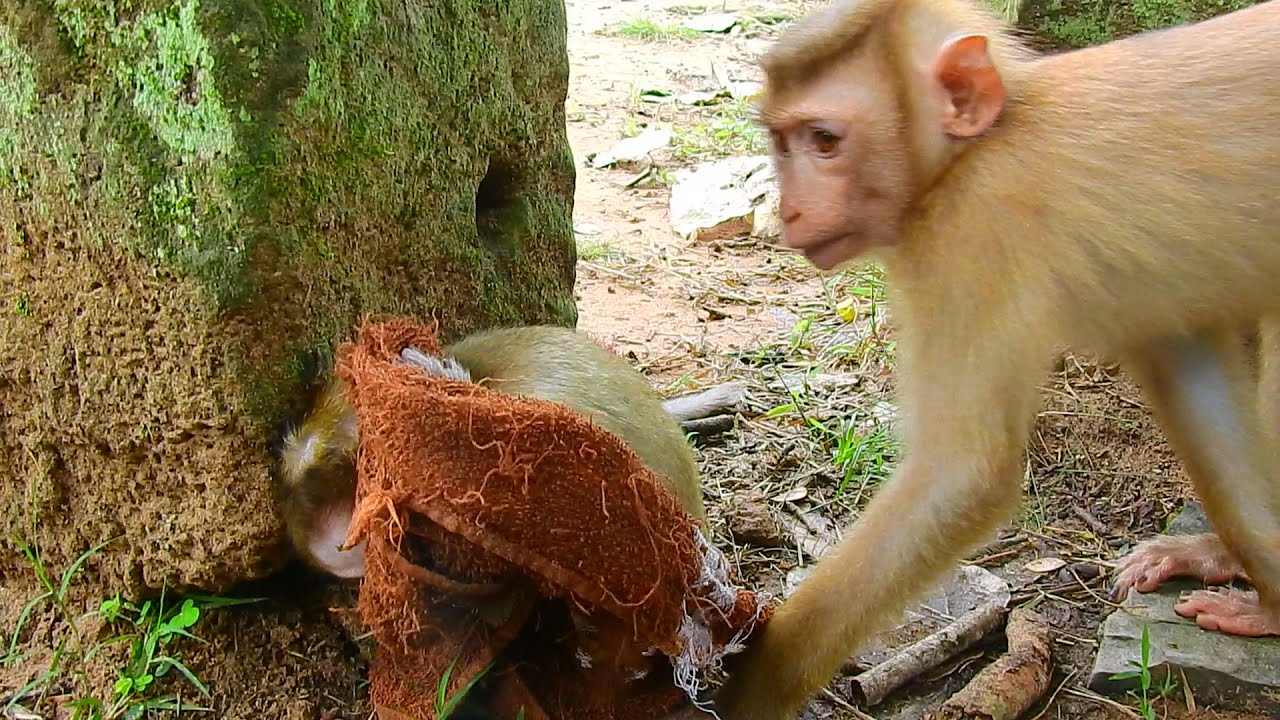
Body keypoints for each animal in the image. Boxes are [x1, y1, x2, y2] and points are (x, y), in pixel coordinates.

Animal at [699, 0, 1280, 717]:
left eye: (826, 141)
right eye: (782, 141)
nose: (790, 210)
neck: (979, 146)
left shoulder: (971, 231)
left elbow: (963, 474)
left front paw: (753, 681)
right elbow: (1188, 361)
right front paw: (1275, 591)